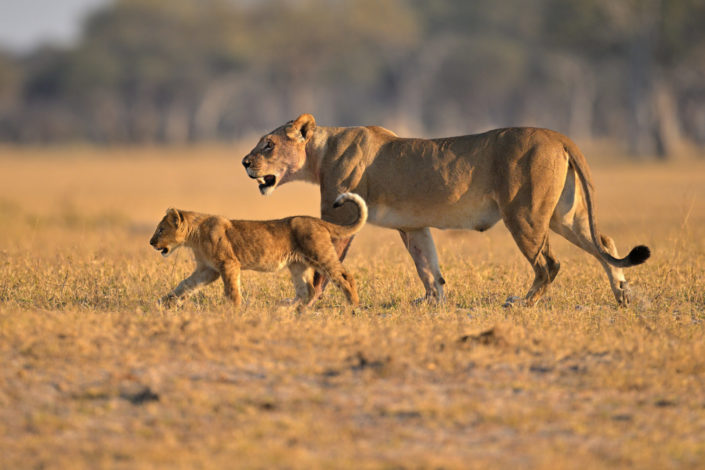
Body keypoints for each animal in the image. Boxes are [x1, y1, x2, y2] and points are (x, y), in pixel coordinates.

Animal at [149, 192, 367, 310]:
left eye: (161, 230)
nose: (151, 242)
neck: (194, 236)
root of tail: (318, 220)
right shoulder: (207, 269)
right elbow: (185, 285)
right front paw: (162, 302)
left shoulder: (228, 263)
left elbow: (232, 289)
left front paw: (234, 310)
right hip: (298, 265)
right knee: (307, 290)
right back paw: (290, 310)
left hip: (320, 255)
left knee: (345, 276)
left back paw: (353, 305)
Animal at [242, 113, 650, 307]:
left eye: (268, 145)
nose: (245, 162)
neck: (319, 153)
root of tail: (559, 136)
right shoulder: (413, 227)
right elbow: (429, 268)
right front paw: (431, 302)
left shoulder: (340, 217)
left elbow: (324, 268)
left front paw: (305, 301)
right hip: (565, 216)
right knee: (605, 243)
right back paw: (623, 296)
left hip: (525, 214)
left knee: (549, 264)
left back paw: (522, 302)